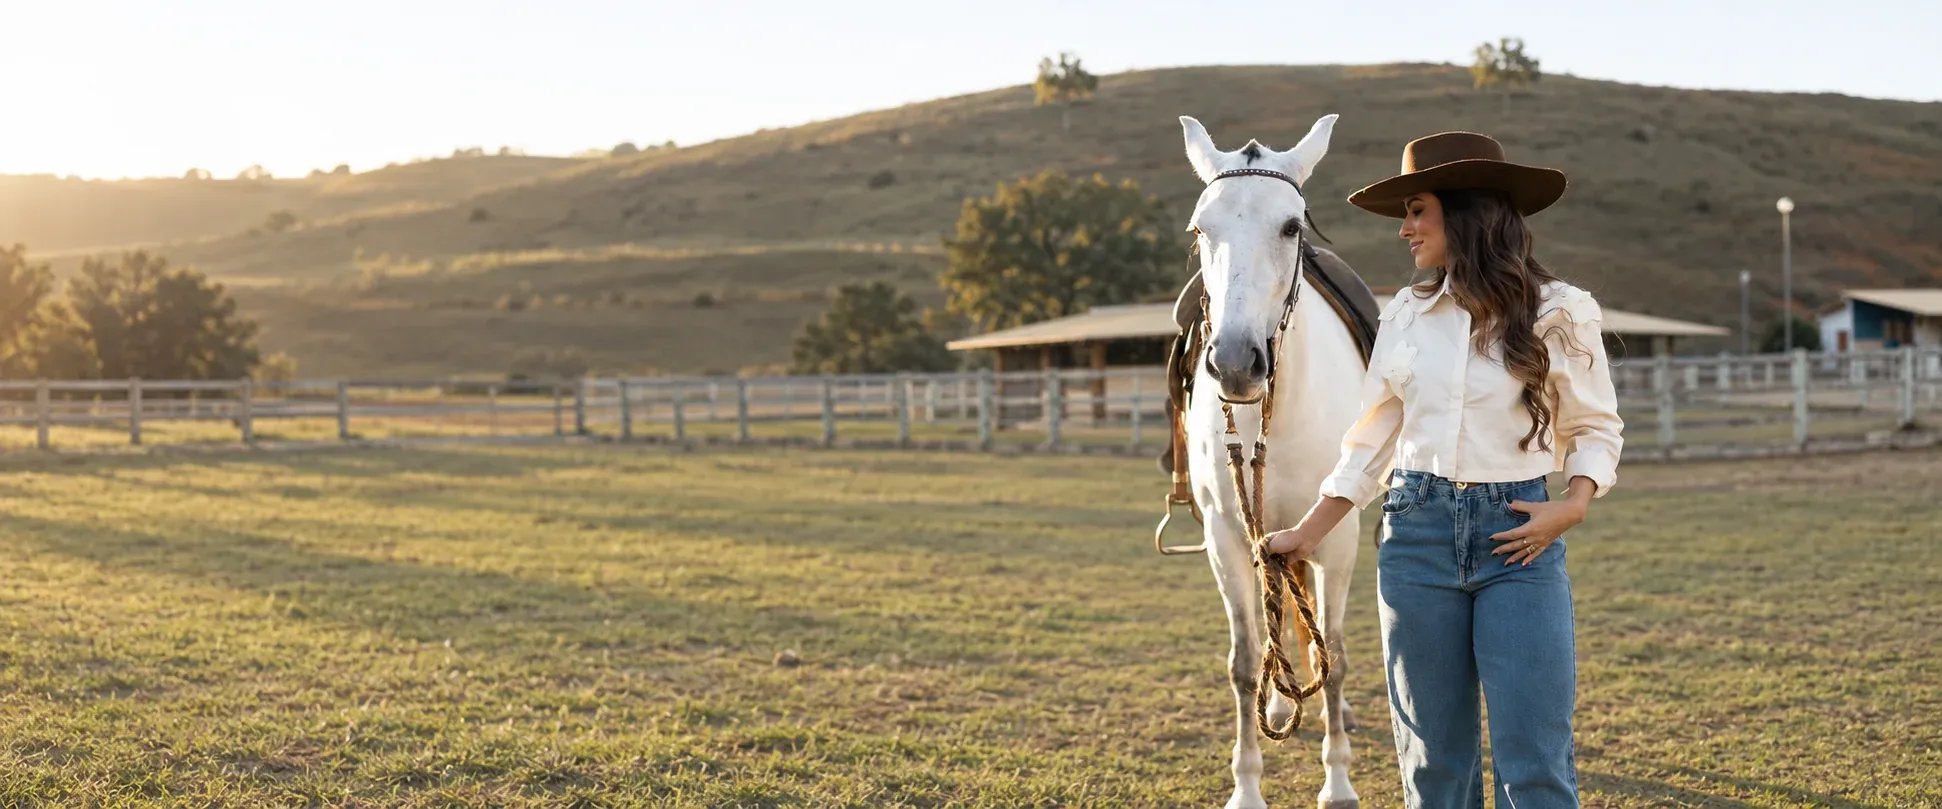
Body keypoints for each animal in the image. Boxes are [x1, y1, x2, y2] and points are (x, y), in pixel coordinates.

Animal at [1179, 114, 1367, 809]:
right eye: (1200, 229)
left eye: (1291, 226)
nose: (1236, 362)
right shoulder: (1229, 539)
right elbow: (1243, 660)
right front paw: (1247, 787)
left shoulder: (1337, 538)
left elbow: (1333, 658)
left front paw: (1337, 783)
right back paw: (1283, 706)